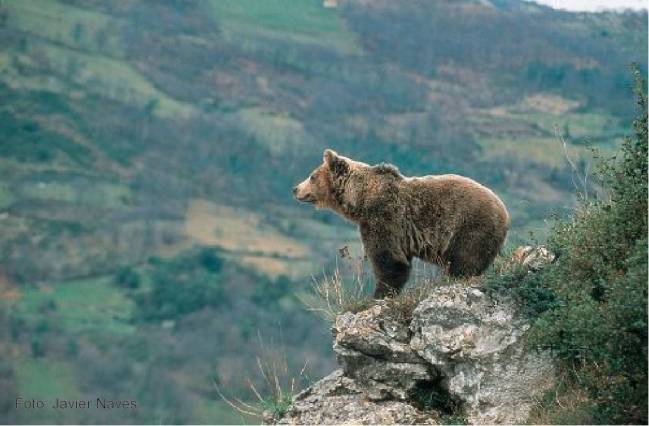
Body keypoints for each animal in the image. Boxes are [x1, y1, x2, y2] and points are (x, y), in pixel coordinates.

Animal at [294, 150, 512, 300]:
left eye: (312, 176)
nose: (295, 188)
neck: (360, 200)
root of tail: (505, 212)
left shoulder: (384, 218)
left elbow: (389, 259)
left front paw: (378, 295)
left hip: (470, 226)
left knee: (466, 260)